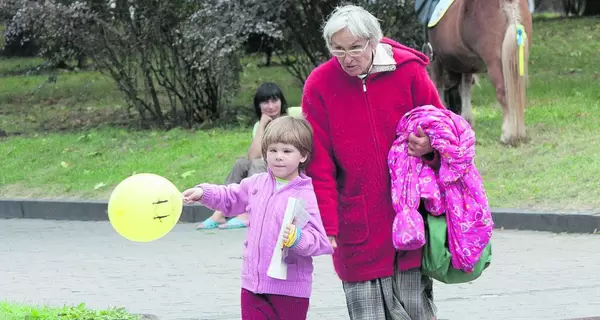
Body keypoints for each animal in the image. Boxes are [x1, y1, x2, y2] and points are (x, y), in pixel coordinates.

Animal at [426, 0, 536, 147]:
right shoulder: (466, 65)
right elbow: (465, 89)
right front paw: (467, 120)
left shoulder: (436, 59)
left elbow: (438, 88)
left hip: (494, 62)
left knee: (504, 93)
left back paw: (508, 136)